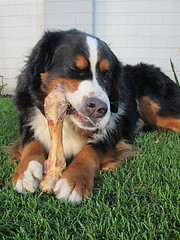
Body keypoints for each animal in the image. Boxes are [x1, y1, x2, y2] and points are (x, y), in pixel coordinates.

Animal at [11, 29, 180, 203]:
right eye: (75, 69)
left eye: (107, 76)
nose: (99, 108)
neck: (68, 123)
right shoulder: (29, 123)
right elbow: (32, 143)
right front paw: (26, 171)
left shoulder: (113, 132)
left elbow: (91, 150)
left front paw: (74, 181)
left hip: (158, 108)